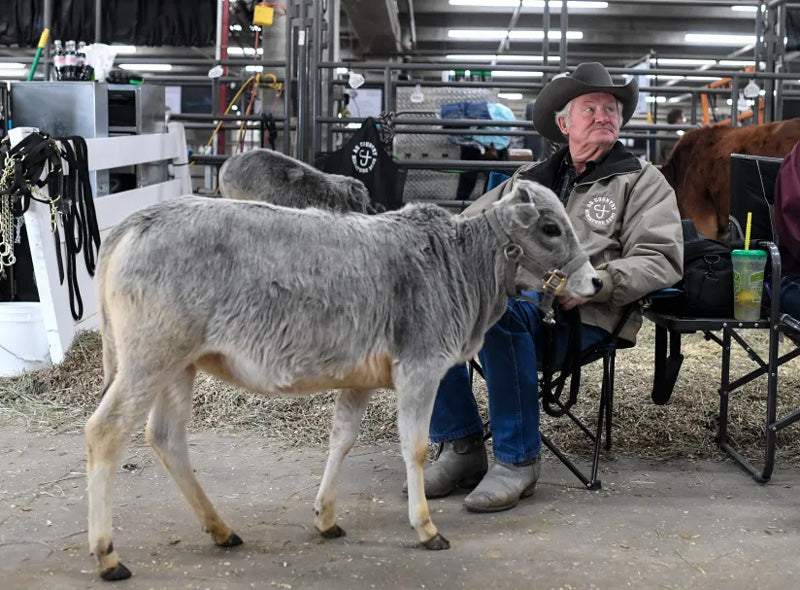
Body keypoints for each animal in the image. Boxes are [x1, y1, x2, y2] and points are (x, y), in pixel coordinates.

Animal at [87, 178, 600, 580]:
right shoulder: (421, 368)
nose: (595, 281)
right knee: (104, 432)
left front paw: (326, 517)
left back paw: (220, 529)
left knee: (166, 438)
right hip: (148, 359)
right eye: (550, 228)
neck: (460, 264)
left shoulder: (361, 378)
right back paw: (107, 555)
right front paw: (425, 527)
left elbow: (342, 438)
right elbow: (414, 448)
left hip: (178, 366)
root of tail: (138, 220)